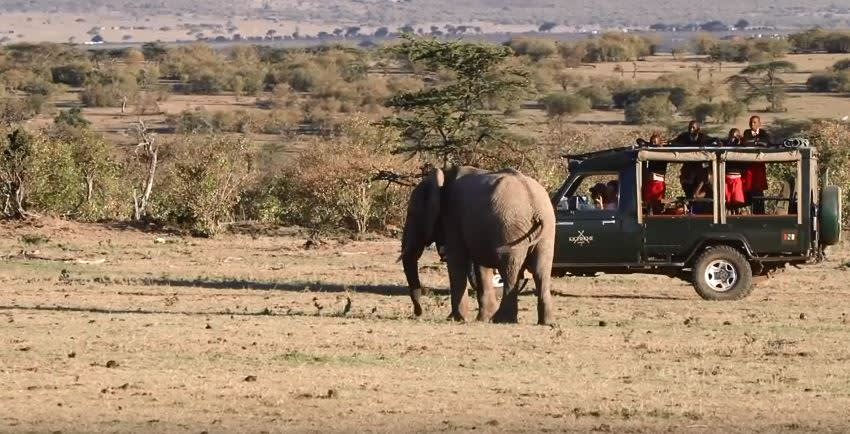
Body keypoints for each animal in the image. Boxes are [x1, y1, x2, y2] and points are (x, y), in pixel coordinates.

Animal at [400, 166, 556, 326]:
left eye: (411, 214)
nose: (417, 313)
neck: (443, 177)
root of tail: (534, 204)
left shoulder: (453, 218)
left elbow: (456, 262)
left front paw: (456, 319)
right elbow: (481, 267)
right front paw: (482, 318)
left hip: (510, 229)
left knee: (510, 269)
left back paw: (502, 320)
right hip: (546, 230)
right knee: (541, 270)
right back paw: (546, 322)